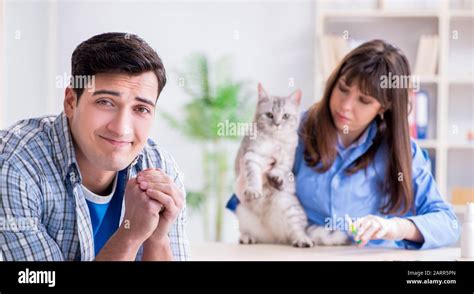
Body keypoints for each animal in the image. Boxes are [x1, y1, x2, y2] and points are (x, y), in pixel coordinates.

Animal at [233, 84, 348, 247]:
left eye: (285, 116)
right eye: (269, 115)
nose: (277, 124)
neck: (275, 139)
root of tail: (273, 237)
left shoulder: (288, 157)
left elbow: (282, 168)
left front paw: (276, 177)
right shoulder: (251, 155)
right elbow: (253, 174)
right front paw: (254, 189)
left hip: (288, 206)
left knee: (297, 231)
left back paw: (303, 240)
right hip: (242, 211)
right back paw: (247, 237)